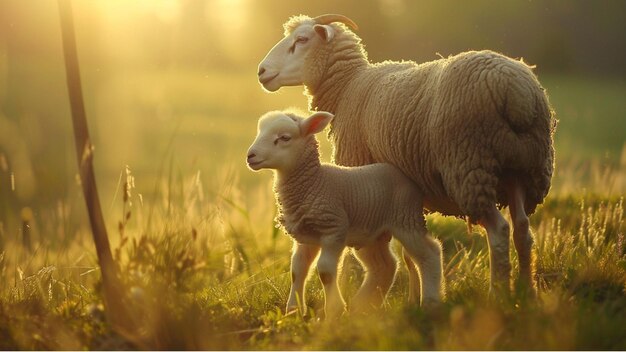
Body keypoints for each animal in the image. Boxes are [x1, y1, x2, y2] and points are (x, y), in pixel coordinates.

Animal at [245, 110, 444, 316]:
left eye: (284, 138)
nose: (250, 156)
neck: (315, 182)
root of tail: (408, 178)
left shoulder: (334, 229)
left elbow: (325, 271)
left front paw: (334, 310)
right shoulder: (305, 237)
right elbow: (297, 271)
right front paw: (293, 310)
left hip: (406, 219)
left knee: (429, 253)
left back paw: (430, 302)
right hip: (371, 234)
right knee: (385, 266)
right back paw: (362, 306)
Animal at [258, 14, 556, 294]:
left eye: (302, 39)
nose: (262, 71)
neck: (349, 86)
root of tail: (517, 93)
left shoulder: (364, 179)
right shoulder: (406, 194)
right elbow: (409, 254)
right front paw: (413, 297)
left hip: (471, 167)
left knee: (499, 231)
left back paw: (499, 294)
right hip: (524, 170)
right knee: (523, 230)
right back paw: (526, 293)